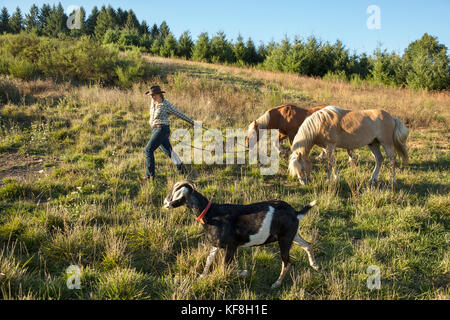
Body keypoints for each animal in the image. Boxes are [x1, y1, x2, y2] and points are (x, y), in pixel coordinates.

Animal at [163, 181, 318, 288]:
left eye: (177, 194)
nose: (165, 203)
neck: (211, 214)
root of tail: (295, 213)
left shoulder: (231, 247)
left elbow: (225, 269)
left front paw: (245, 273)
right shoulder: (216, 245)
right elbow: (208, 260)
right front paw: (201, 277)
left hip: (285, 240)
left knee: (287, 262)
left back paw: (276, 284)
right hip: (292, 235)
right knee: (307, 245)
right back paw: (315, 265)